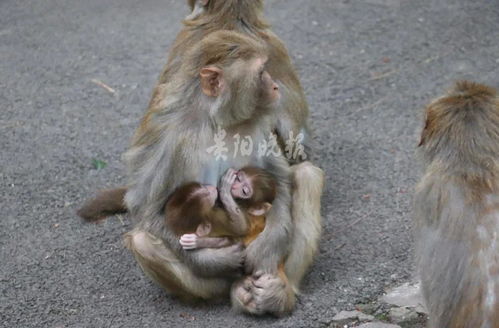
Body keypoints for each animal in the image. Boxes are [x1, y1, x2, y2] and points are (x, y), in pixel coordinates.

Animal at [78, 1, 324, 316]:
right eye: (261, 73)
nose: (274, 87)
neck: (220, 121)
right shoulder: (172, 139)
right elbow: (147, 208)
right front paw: (215, 258)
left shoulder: (260, 119)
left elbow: (280, 177)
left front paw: (267, 246)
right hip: (217, 285)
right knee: (144, 240)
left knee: (307, 175)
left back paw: (279, 293)